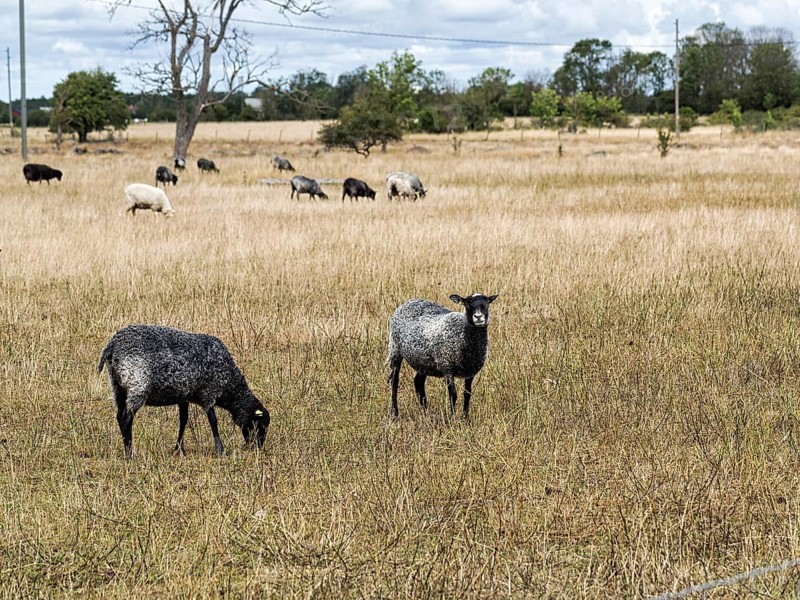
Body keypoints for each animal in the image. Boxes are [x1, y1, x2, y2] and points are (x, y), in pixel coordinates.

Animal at [98, 324, 270, 459]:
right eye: (260, 425)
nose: (257, 447)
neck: (230, 384)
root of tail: (112, 345)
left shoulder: (184, 397)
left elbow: (183, 420)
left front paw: (179, 449)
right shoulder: (209, 393)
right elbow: (213, 421)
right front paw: (220, 450)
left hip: (117, 387)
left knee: (120, 416)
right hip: (137, 384)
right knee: (127, 417)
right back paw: (129, 455)